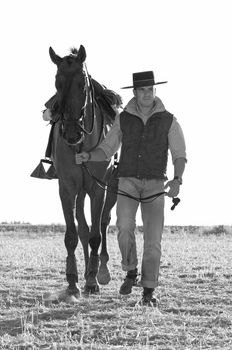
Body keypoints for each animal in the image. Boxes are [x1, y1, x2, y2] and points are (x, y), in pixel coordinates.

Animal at [47, 44, 119, 296]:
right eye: (57, 82)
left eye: (82, 83)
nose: (70, 132)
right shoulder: (67, 187)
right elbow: (73, 234)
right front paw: (73, 281)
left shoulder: (98, 187)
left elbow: (96, 234)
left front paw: (92, 280)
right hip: (80, 191)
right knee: (84, 227)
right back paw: (88, 270)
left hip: (112, 186)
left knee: (104, 221)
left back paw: (101, 271)